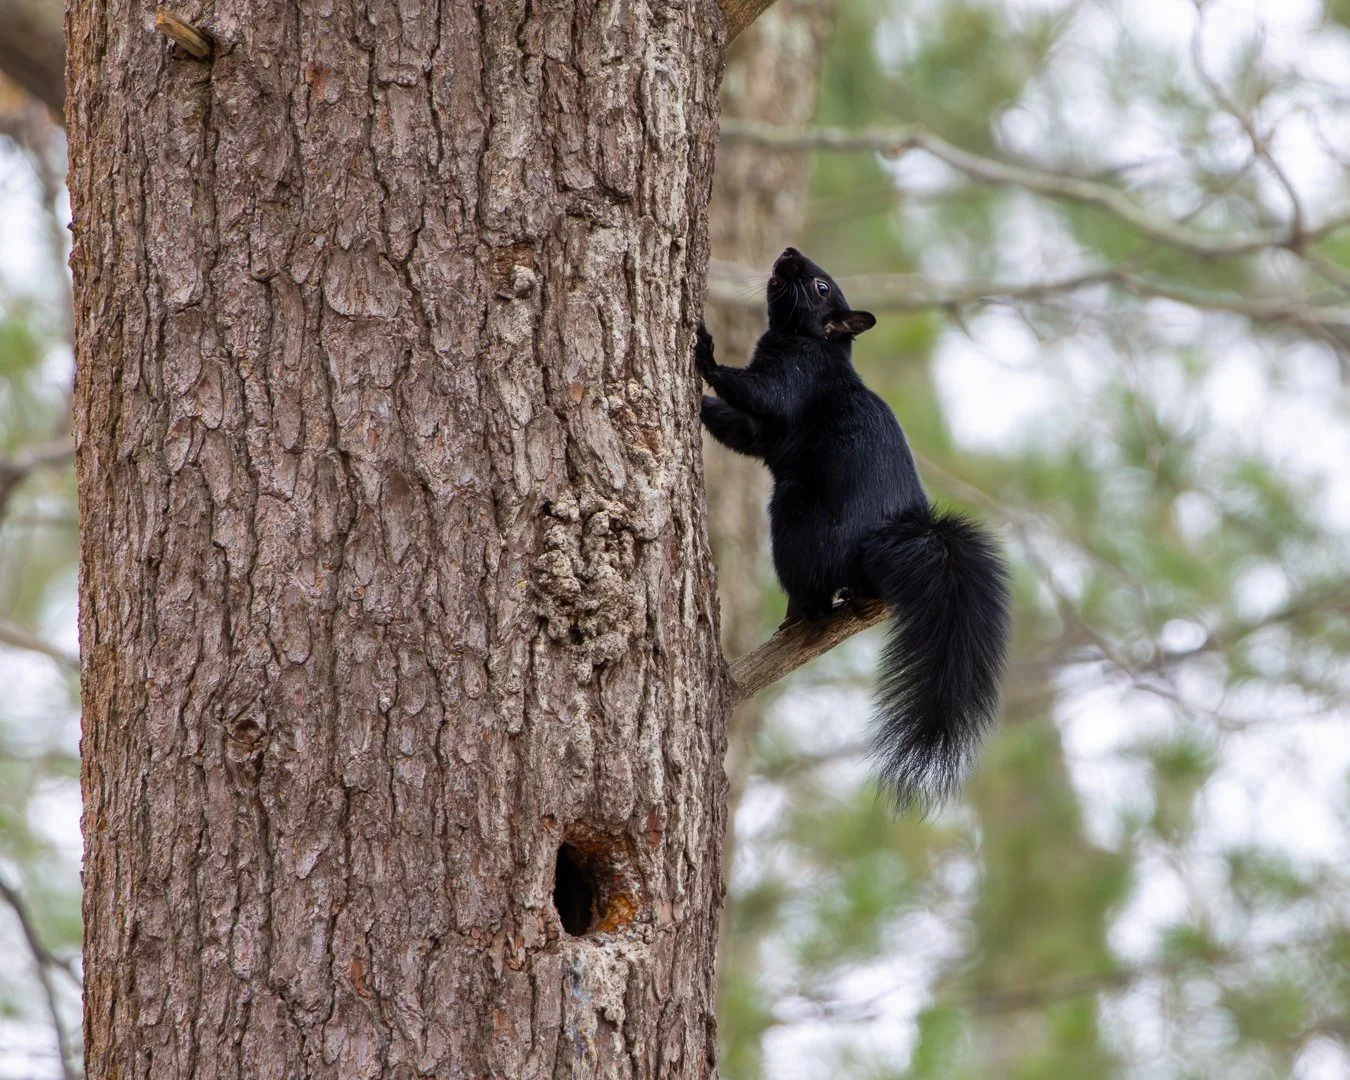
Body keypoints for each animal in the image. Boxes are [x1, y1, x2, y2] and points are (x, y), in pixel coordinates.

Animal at [697, 247, 1012, 811]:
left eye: (821, 287)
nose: (789, 252)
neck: (815, 343)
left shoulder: (796, 378)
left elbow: (761, 394)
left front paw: (704, 352)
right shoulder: (761, 430)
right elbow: (742, 430)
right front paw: (700, 404)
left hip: (796, 527)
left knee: (816, 595)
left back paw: (800, 614)